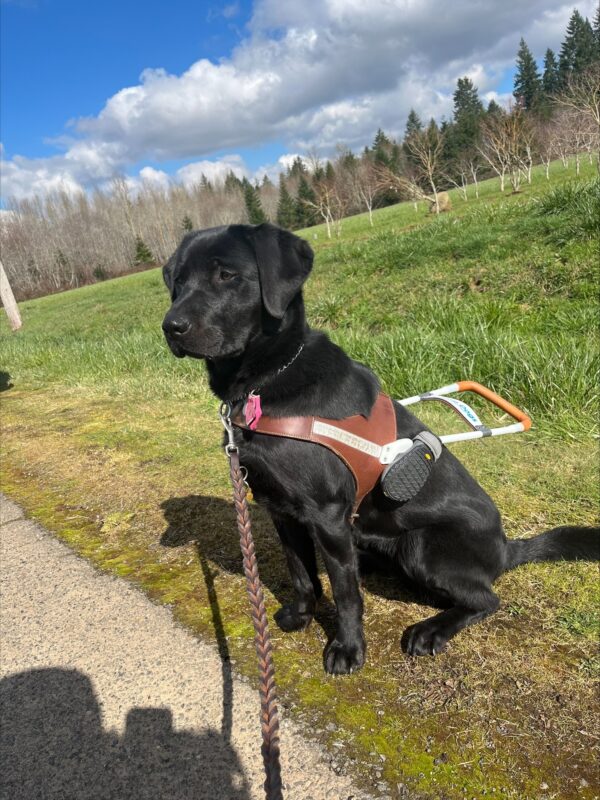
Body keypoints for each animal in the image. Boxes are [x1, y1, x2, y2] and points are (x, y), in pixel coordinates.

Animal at [162, 223, 596, 676]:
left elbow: (346, 595)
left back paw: (430, 629)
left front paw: (348, 649)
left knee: (485, 599)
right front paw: (301, 615)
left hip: (421, 546)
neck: (265, 383)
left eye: (227, 275)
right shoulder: (280, 509)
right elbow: (302, 573)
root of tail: (506, 547)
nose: (170, 327)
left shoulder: (326, 512)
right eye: (177, 281)